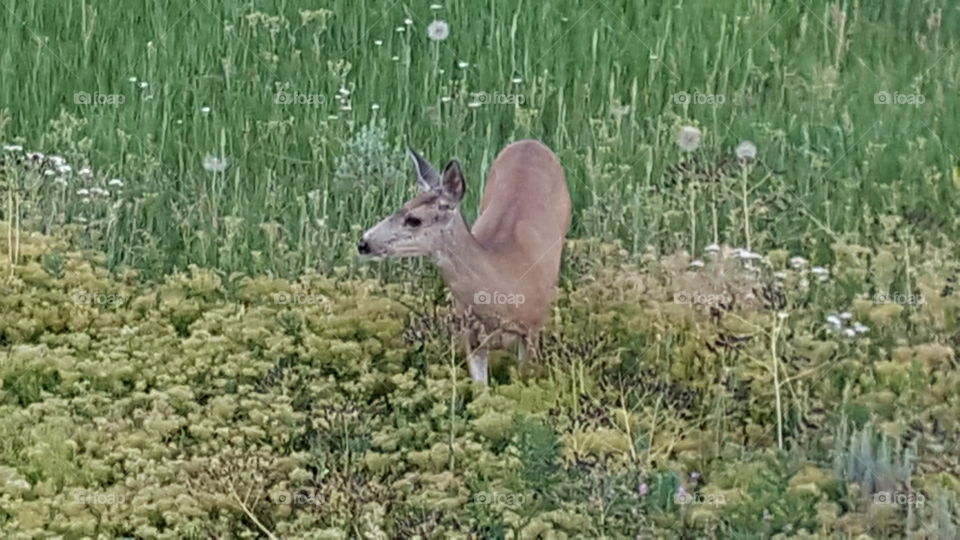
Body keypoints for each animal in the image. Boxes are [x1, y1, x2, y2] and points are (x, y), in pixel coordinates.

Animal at [357, 140, 572, 385]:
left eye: (414, 220)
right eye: (401, 206)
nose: (363, 243)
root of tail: (529, 142)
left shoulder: (533, 328)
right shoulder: (470, 335)